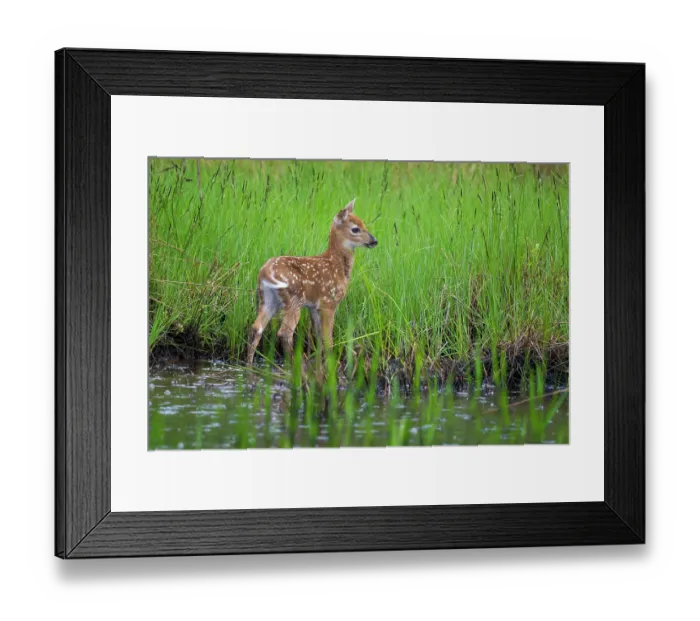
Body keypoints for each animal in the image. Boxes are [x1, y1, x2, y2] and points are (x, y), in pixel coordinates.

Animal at [246, 199, 378, 366]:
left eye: (364, 224)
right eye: (355, 229)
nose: (374, 241)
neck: (336, 265)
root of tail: (265, 271)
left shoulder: (314, 307)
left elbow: (319, 336)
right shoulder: (329, 302)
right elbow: (328, 338)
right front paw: (331, 363)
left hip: (267, 298)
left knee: (257, 328)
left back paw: (249, 365)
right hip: (294, 299)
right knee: (284, 333)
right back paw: (294, 365)